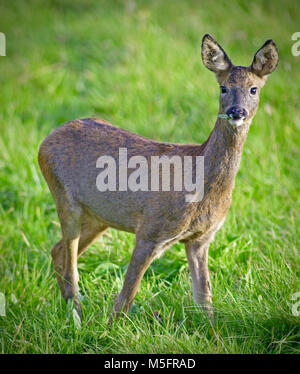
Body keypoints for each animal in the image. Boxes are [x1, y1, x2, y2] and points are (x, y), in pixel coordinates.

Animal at [38, 33, 278, 322]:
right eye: (223, 87)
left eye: (254, 89)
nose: (236, 112)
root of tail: (45, 140)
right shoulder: (151, 230)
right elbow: (127, 295)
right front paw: (108, 328)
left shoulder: (201, 239)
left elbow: (204, 298)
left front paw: (213, 330)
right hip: (64, 196)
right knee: (69, 260)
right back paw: (76, 316)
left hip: (99, 217)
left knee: (58, 250)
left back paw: (70, 311)